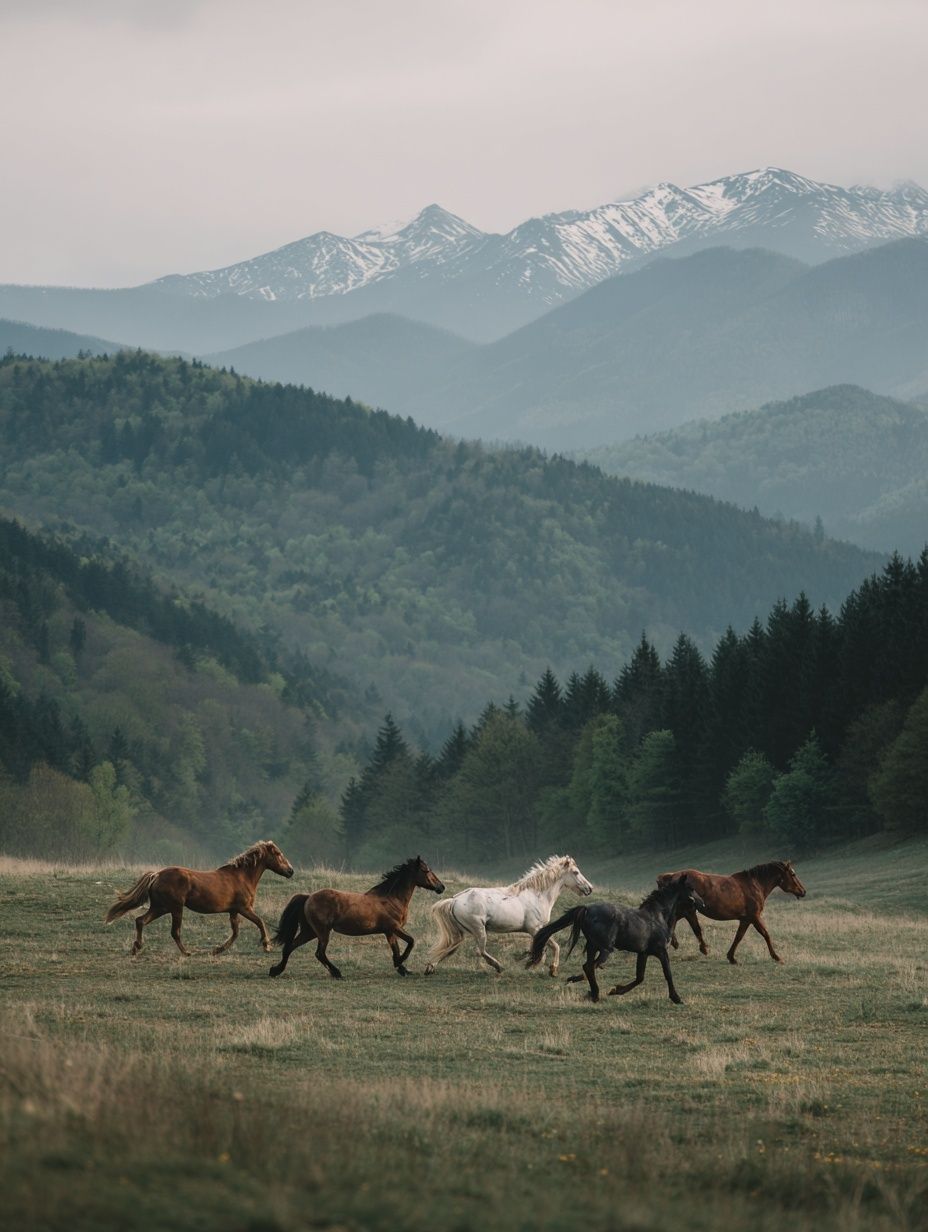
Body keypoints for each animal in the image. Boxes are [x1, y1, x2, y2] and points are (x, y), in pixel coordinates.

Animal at [104, 840, 294, 956]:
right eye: (278, 854)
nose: (290, 871)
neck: (241, 876)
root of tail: (156, 875)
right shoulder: (244, 908)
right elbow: (260, 922)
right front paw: (267, 945)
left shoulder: (233, 911)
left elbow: (235, 933)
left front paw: (217, 950)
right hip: (175, 908)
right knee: (174, 932)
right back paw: (187, 952)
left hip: (160, 907)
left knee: (140, 920)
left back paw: (136, 947)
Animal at [269, 855, 445, 980]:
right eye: (426, 870)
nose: (441, 887)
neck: (391, 898)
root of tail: (308, 897)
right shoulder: (394, 927)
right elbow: (411, 942)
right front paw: (401, 964)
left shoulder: (389, 932)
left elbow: (395, 949)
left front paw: (403, 969)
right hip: (322, 932)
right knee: (319, 953)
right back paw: (337, 973)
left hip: (310, 931)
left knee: (290, 947)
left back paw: (275, 970)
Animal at [423, 854, 593, 977]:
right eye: (575, 872)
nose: (589, 888)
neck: (537, 895)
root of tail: (454, 900)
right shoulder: (534, 928)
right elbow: (553, 946)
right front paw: (551, 969)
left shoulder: (538, 930)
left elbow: (543, 947)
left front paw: (531, 962)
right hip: (479, 929)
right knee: (480, 951)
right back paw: (498, 967)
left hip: (462, 932)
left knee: (451, 946)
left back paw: (430, 967)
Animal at [527, 875, 706, 1003]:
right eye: (691, 888)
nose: (702, 904)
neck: (658, 916)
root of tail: (587, 909)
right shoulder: (661, 951)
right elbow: (667, 973)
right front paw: (676, 998)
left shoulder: (643, 953)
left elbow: (640, 977)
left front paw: (616, 990)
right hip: (605, 949)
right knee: (590, 967)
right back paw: (594, 993)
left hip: (592, 946)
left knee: (588, 966)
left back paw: (590, 990)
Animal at [658, 859, 806, 964]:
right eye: (793, 874)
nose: (803, 891)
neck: (755, 884)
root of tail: (672, 876)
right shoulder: (755, 917)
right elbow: (765, 934)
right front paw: (777, 957)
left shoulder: (745, 919)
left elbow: (738, 937)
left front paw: (731, 957)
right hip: (689, 910)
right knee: (689, 926)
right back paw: (701, 948)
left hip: (686, 910)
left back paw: (675, 943)